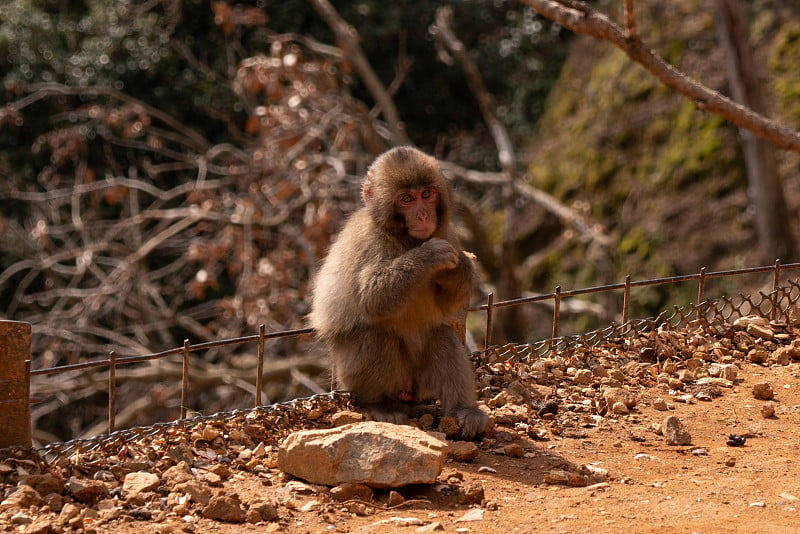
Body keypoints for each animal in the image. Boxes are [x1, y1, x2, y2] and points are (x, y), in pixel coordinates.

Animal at [310, 147, 488, 440]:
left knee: (442, 336)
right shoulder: (368, 241)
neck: (405, 239)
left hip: (422, 385)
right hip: (353, 377)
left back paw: (464, 411)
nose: (424, 216)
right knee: (374, 335)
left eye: (426, 194)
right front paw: (430, 256)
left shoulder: (447, 232)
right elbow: (371, 298)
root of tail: (407, 392)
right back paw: (380, 403)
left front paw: (459, 266)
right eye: (406, 199)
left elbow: (448, 304)